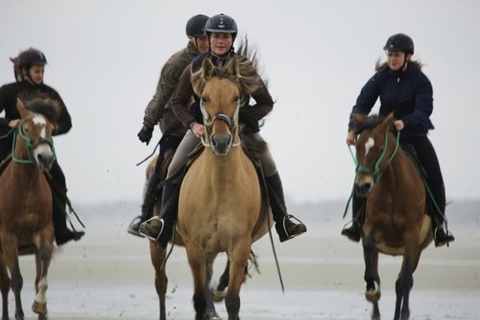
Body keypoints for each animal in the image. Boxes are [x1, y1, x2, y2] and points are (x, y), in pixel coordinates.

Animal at [0, 97, 58, 320]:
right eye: (25, 128)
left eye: (50, 128)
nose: (46, 157)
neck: (25, 187)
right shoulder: (8, 238)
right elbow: (16, 281)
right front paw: (19, 314)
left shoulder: (43, 231)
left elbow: (43, 266)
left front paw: (40, 305)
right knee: (5, 284)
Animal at [350, 113, 434, 320]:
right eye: (358, 146)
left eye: (380, 149)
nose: (363, 186)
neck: (393, 188)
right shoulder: (372, 228)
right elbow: (369, 252)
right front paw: (371, 289)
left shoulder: (411, 236)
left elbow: (405, 282)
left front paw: (404, 313)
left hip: (416, 250)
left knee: (402, 282)